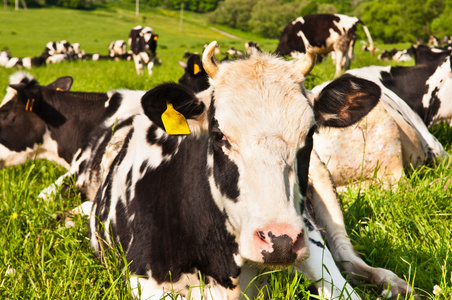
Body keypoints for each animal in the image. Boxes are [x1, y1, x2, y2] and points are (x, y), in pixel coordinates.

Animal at [88, 41, 416, 300]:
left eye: (310, 133)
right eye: (219, 135)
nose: (279, 240)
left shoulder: (312, 248)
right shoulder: (144, 279)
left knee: (348, 257)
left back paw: (394, 283)